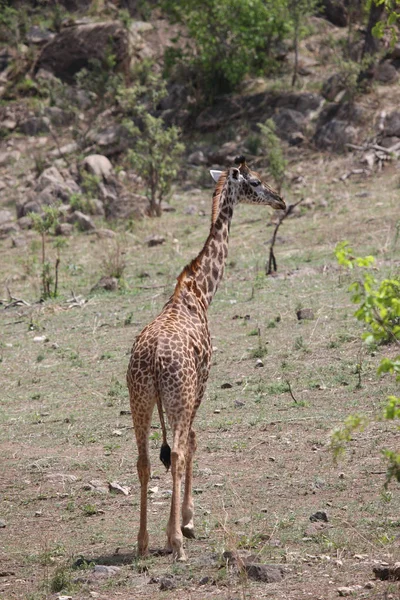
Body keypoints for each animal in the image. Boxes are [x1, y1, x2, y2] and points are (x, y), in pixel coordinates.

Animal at [126, 157, 286, 560]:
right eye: (256, 181)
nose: (280, 201)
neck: (199, 290)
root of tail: (153, 360)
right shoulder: (202, 382)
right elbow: (195, 442)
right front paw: (187, 521)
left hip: (140, 400)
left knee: (145, 459)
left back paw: (142, 542)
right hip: (178, 397)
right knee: (178, 452)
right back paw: (176, 540)